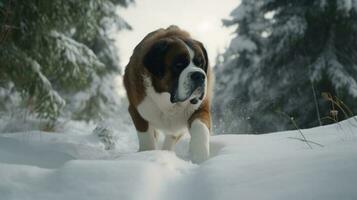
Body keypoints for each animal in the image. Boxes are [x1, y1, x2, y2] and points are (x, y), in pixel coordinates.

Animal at [123, 25, 211, 163]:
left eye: (201, 64)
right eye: (178, 65)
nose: (199, 75)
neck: (169, 103)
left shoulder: (201, 107)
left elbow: (200, 127)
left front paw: (200, 157)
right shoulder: (137, 111)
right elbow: (146, 139)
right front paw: (146, 155)